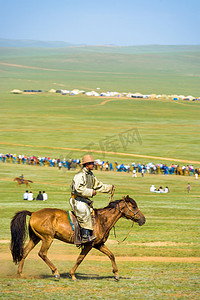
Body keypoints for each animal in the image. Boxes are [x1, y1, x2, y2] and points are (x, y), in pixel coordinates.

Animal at [10, 196, 145, 280]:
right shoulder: (89, 245)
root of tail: (33, 213)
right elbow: (80, 259)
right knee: (42, 253)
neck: (101, 220)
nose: (143, 219)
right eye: (133, 207)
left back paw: (20, 273)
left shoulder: (99, 244)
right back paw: (56, 272)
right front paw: (72, 275)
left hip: (35, 238)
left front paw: (116, 274)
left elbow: (111, 255)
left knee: (25, 252)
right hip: (47, 238)